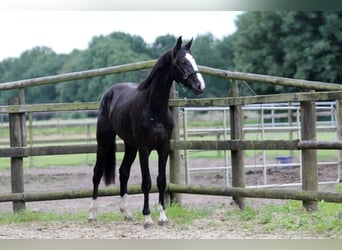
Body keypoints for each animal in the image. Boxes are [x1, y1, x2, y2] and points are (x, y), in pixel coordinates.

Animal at [89, 36, 206, 228]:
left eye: (194, 60)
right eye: (182, 61)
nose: (200, 86)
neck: (154, 108)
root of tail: (109, 92)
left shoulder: (164, 147)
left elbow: (161, 181)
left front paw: (163, 217)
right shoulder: (144, 149)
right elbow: (146, 182)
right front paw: (147, 218)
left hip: (130, 145)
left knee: (123, 172)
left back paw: (127, 213)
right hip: (104, 141)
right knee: (97, 173)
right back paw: (92, 214)